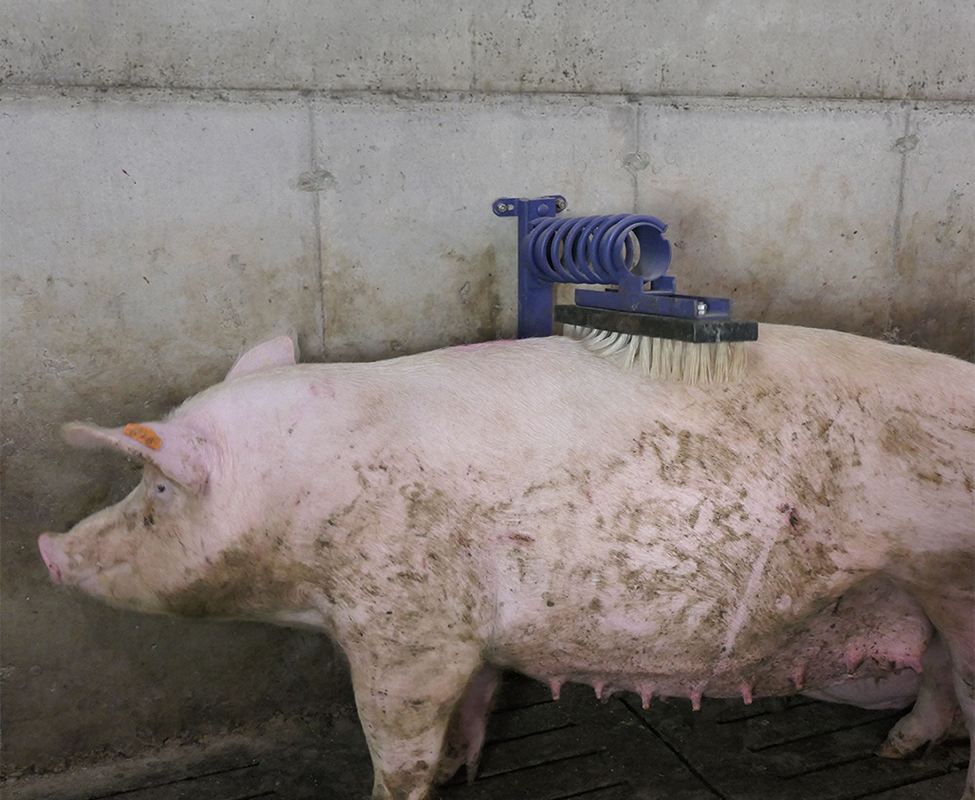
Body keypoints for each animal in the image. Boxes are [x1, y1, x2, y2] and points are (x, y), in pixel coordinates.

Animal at [37, 324, 974, 800]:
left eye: (159, 486)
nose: (48, 546)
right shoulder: (464, 634)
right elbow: (477, 699)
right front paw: (466, 768)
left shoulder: (406, 633)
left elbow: (397, 750)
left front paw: (409, 785)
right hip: (924, 590)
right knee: (937, 674)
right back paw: (894, 752)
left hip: (954, 577)